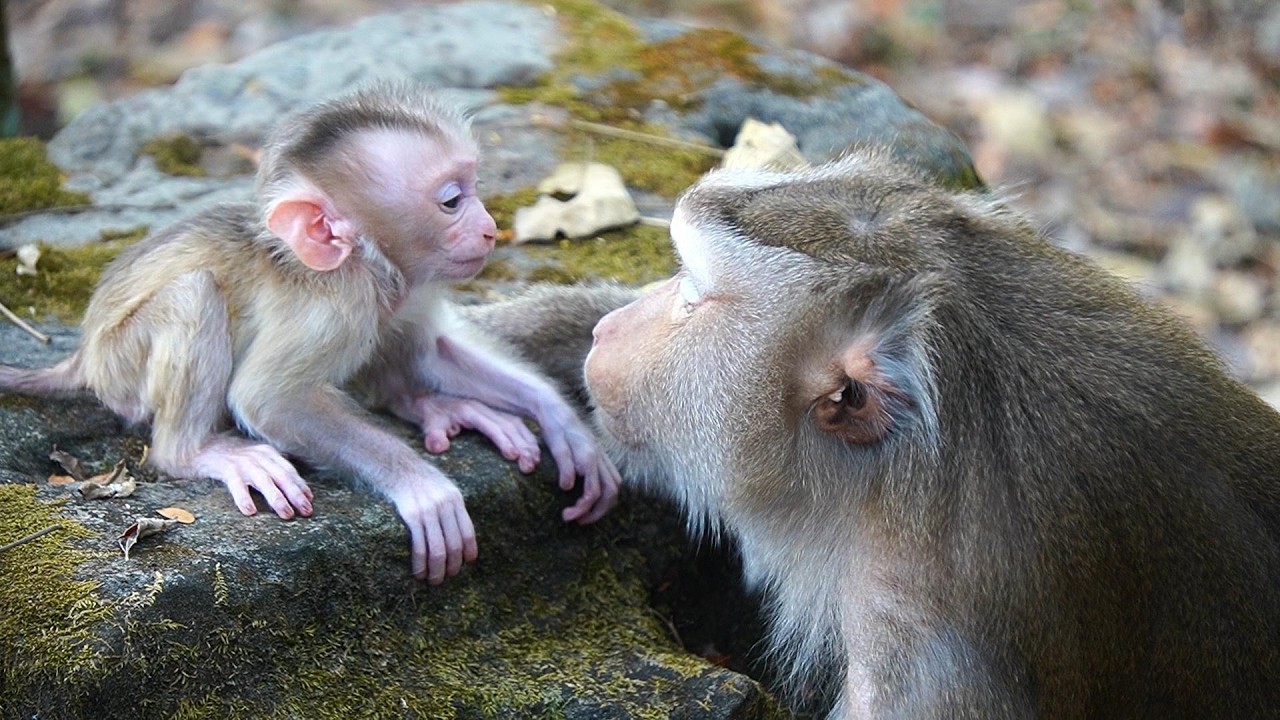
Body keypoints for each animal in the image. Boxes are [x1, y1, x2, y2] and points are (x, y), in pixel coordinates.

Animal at [0, 82, 620, 585]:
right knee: (194, 295)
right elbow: (269, 398)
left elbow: (432, 348)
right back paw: (197, 451)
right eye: (452, 200)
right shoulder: (335, 304)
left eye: (474, 186)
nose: (490, 228)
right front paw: (422, 486)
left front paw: (566, 423)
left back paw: (431, 406)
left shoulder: (409, 284)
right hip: (120, 363)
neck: (368, 264)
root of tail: (82, 355)